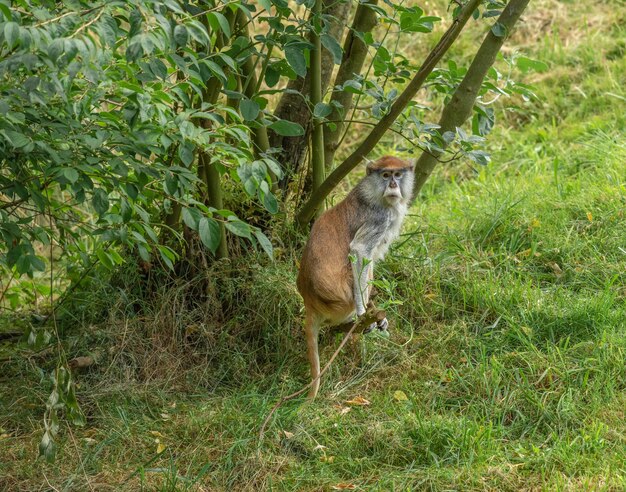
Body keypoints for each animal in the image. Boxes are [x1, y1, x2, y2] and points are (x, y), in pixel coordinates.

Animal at [294, 156, 412, 398]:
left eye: (398, 174)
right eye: (385, 175)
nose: (393, 185)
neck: (371, 192)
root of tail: (309, 301)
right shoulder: (379, 219)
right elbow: (359, 250)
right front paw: (362, 313)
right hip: (340, 300)